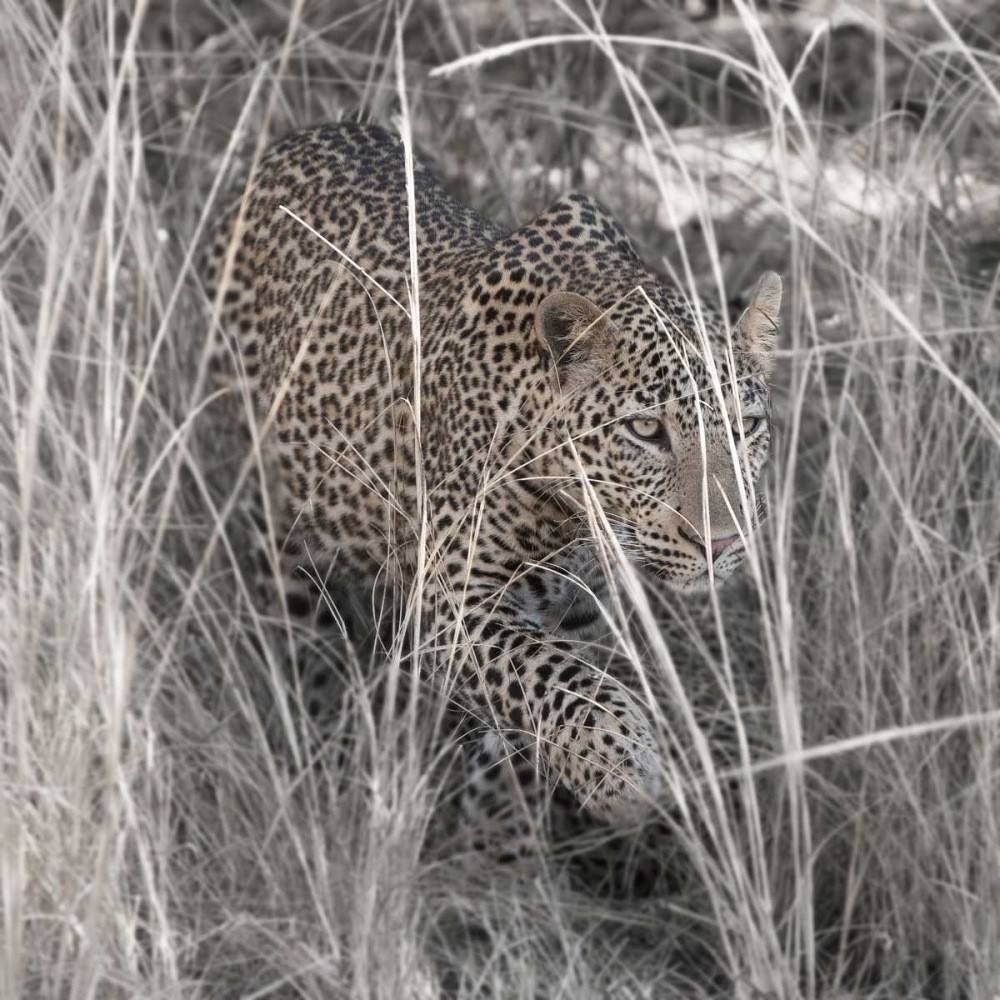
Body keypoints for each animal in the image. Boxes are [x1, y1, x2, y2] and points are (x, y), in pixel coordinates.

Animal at [201, 121, 781, 834]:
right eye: (647, 431)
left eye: (745, 425)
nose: (721, 543)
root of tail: (296, 137)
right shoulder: (451, 600)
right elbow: (552, 676)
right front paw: (624, 769)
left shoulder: (578, 609)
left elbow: (542, 695)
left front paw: (508, 817)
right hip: (272, 509)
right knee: (289, 625)